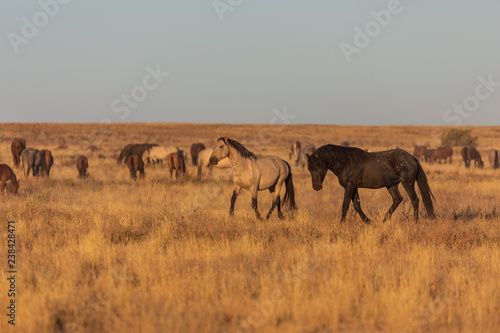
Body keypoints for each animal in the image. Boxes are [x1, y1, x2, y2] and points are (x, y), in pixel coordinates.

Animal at [304, 144, 434, 222]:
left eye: (318, 167)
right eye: (309, 169)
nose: (316, 187)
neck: (345, 162)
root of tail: (413, 158)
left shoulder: (350, 186)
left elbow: (345, 205)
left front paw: (341, 223)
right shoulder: (353, 187)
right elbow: (357, 205)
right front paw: (368, 221)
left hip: (407, 183)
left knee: (414, 200)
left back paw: (415, 221)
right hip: (391, 185)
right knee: (398, 199)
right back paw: (384, 220)